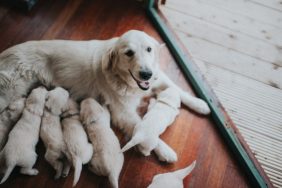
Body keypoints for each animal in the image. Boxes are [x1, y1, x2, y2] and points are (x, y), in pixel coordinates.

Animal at [0, 30, 210, 162]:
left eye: (149, 49)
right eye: (129, 53)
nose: (146, 74)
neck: (125, 81)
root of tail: (5, 53)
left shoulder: (157, 78)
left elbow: (178, 89)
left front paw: (200, 104)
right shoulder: (123, 113)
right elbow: (143, 130)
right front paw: (166, 151)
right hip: (10, 92)